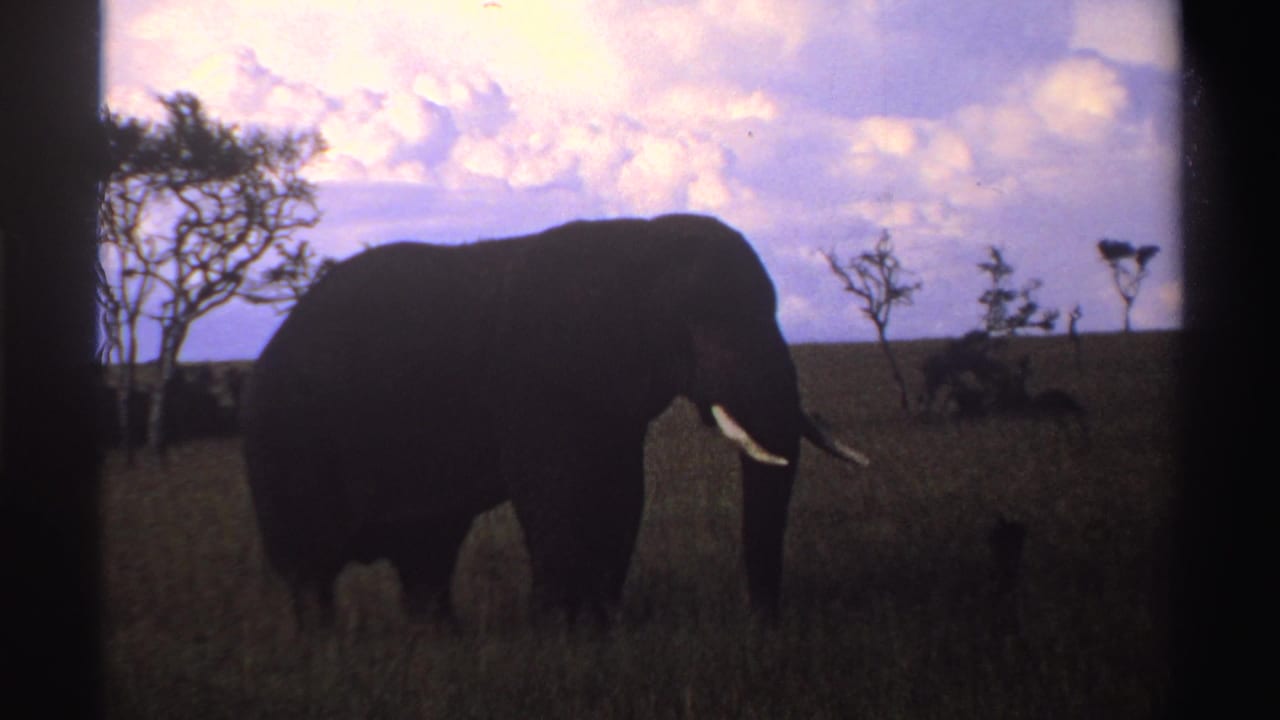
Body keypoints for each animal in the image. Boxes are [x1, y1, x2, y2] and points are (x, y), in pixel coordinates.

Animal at [241, 213, 868, 628]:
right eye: (701, 323)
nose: (762, 622)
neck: (640, 241)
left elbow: (620, 493)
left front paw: (598, 625)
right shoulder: (533, 379)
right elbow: (556, 492)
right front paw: (560, 632)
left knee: (427, 555)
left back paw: (438, 642)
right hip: (286, 440)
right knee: (310, 568)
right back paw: (327, 651)